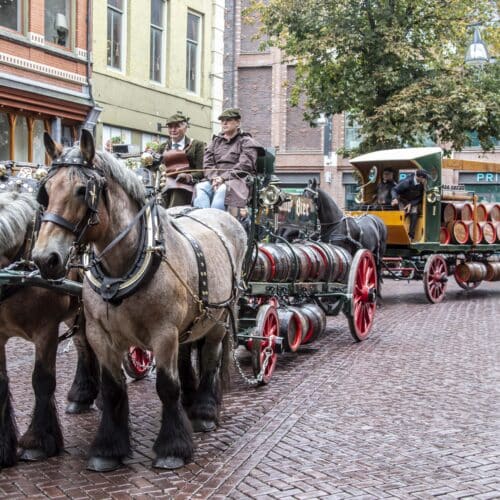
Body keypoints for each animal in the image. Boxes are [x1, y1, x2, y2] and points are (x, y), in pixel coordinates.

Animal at [0, 189, 99, 466]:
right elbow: (1, 383)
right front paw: (4, 448)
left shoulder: (46, 330)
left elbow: (42, 381)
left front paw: (37, 443)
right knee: (84, 346)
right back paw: (81, 395)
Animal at [31, 130, 246, 472]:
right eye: (46, 191)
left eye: (82, 190)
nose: (44, 258)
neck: (124, 267)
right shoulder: (100, 334)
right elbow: (113, 388)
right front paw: (108, 449)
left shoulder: (164, 332)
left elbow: (166, 387)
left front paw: (172, 448)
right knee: (187, 358)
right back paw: (191, 401)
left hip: (218, 320)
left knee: (210, 360)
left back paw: (204, 411)